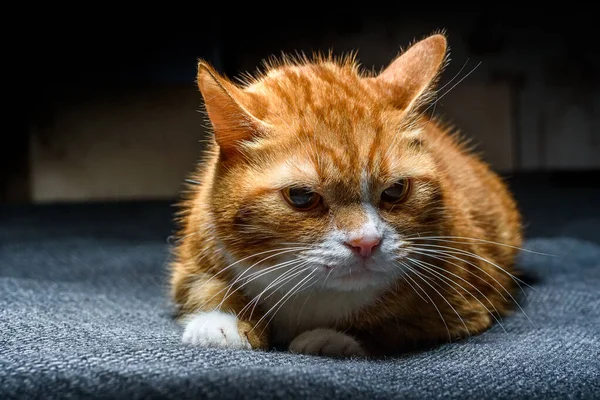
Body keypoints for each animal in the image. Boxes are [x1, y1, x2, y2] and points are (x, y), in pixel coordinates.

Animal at [168, 32, 520, 356]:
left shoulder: (467, 305)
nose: (366, 242)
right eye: (301, 197)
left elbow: (396, 326)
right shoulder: (191, 264)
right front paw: (223, 321)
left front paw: (333, 339)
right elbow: (207, 288)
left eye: (395, 191)